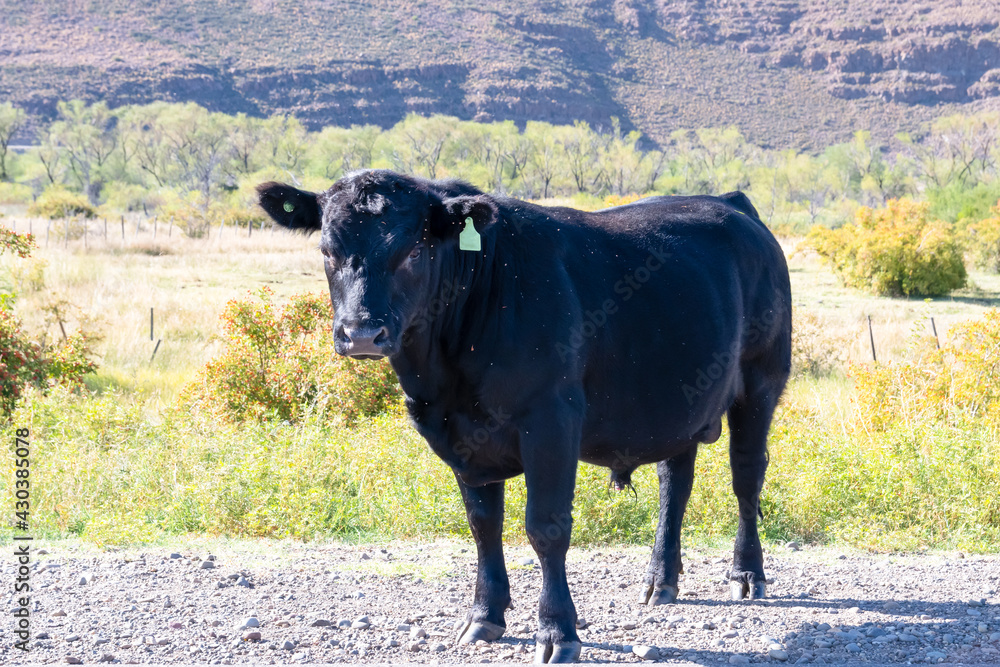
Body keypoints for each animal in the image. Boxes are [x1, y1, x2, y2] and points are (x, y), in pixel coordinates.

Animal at [258, 171, 788, 664]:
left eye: (411, 251)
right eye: (327, 251)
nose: (362, 333)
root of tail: (730, 203)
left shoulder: (551, 421)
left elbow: (545, 528)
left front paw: (557, 632)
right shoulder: (461, 436)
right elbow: (483, 525)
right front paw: (484, 617)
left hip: (760, 383)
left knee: (746, 478)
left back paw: (747, 574)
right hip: (676, 407)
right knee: (674, 485)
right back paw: (660, 580)